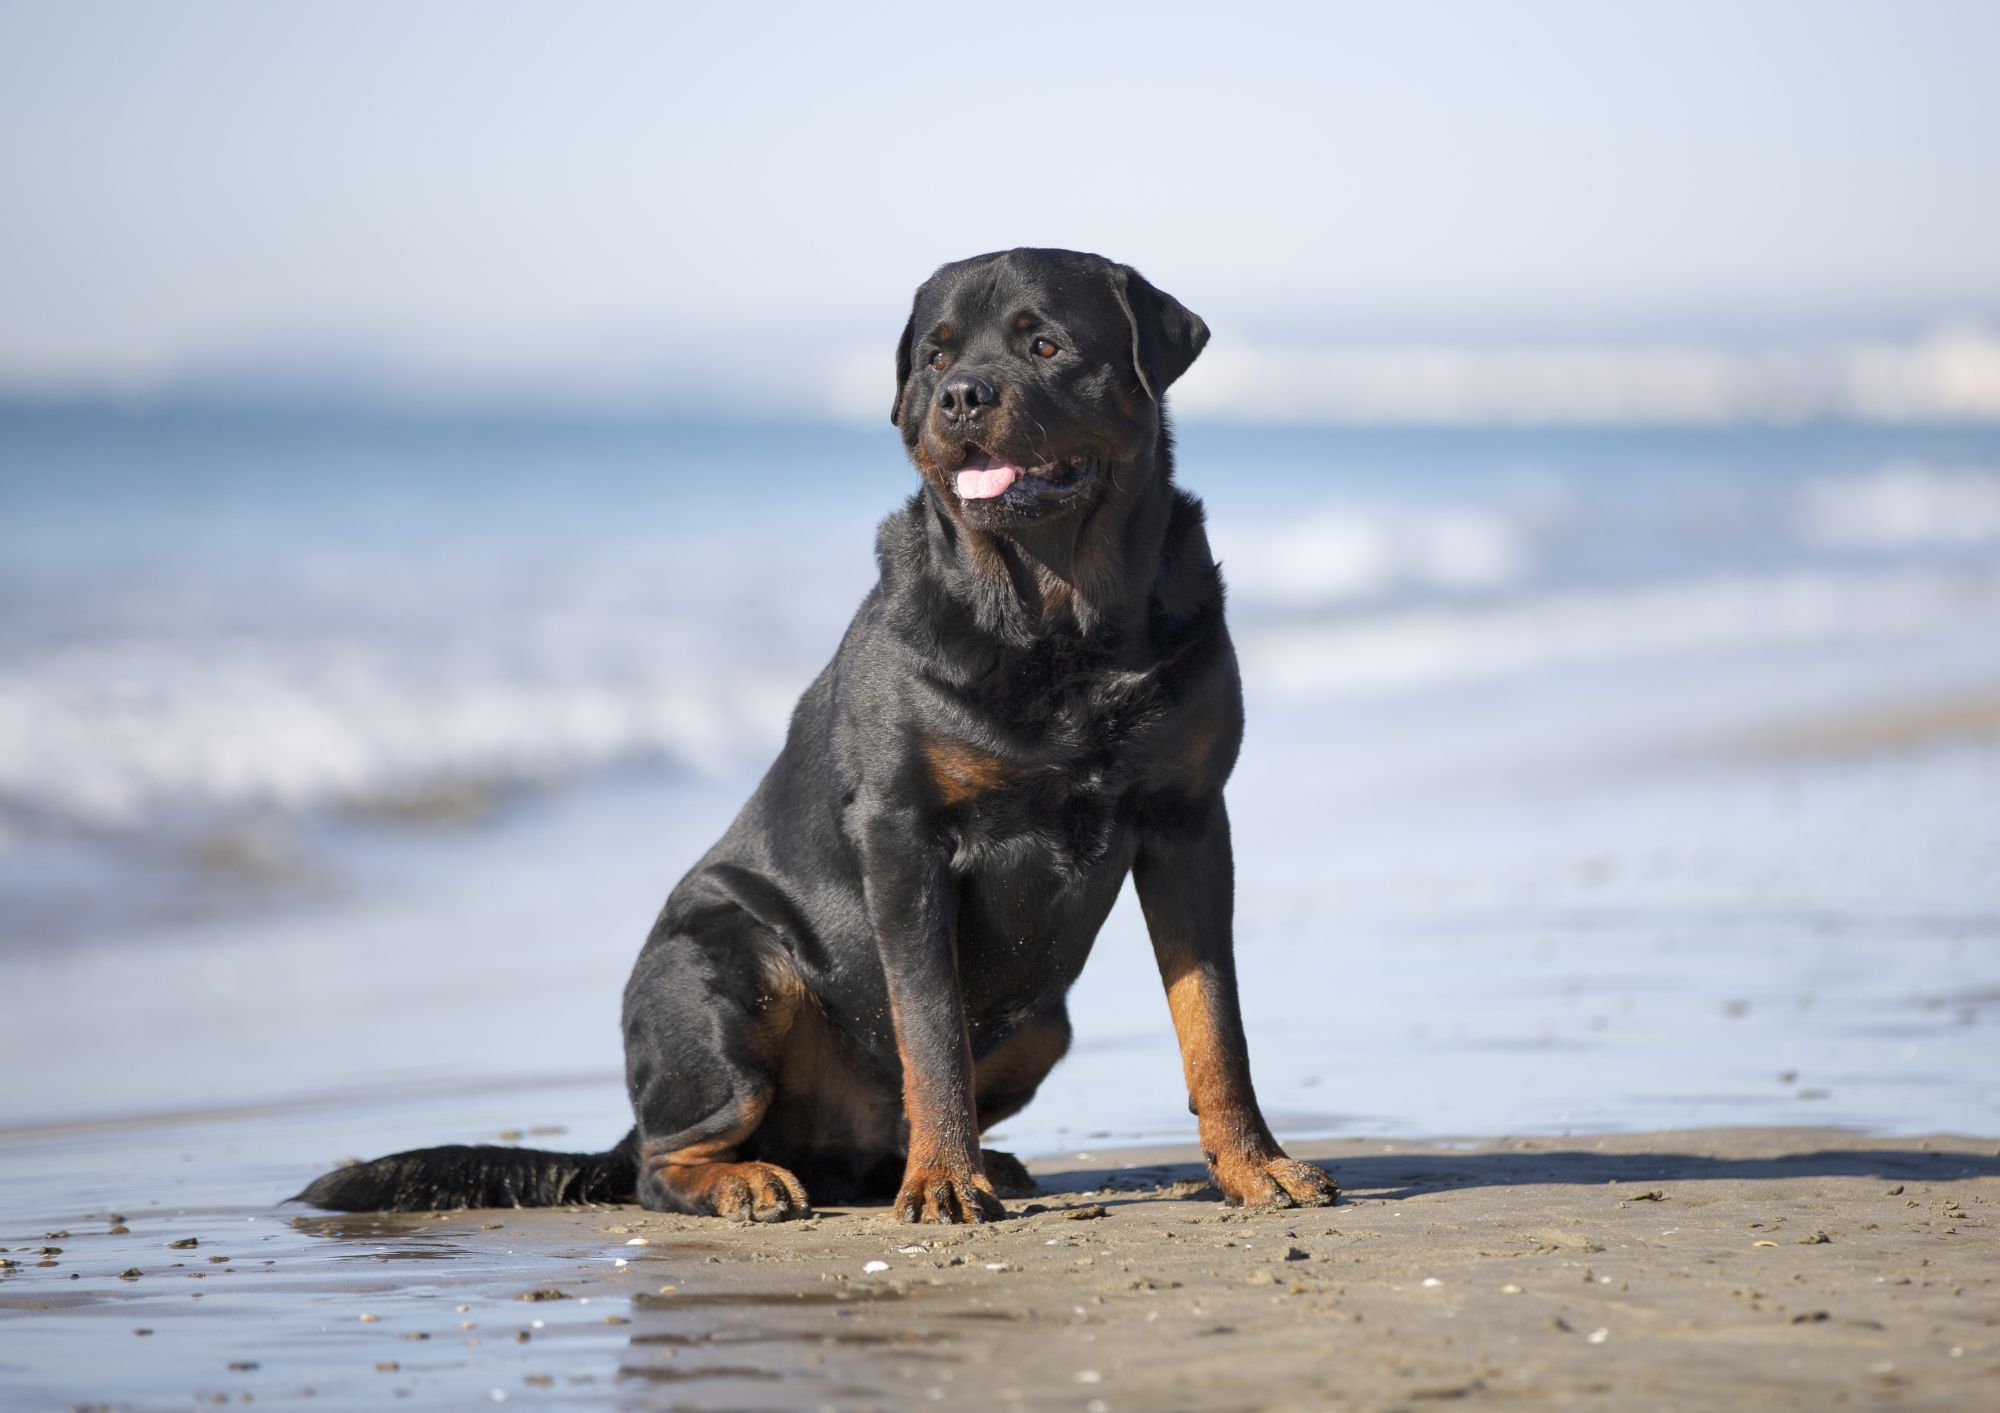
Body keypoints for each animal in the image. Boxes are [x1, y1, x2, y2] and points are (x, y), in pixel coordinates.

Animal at [300, 248, 1328, 1216]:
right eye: (936, 355)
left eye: (1046, 345)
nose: (961, 394)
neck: (1060, 622)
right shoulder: (904, 834)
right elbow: (931, 1028)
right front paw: (944, 1182)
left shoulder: (1188, 816)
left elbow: (1212, 1019)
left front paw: (1254, 1164)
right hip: (727, 968)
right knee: (663, 1161)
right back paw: (753, 1179)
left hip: (1042, 1023)